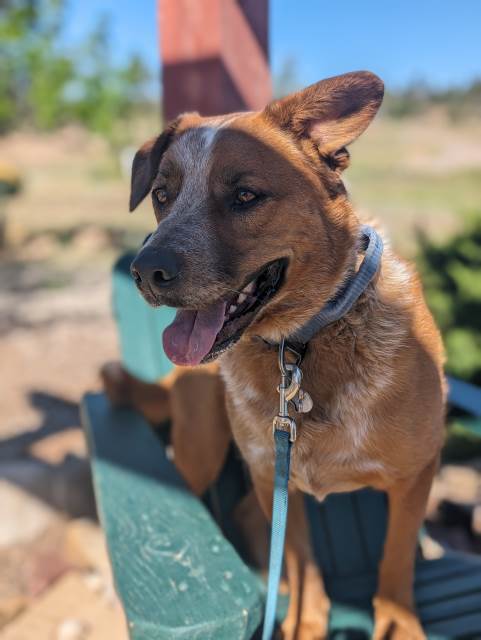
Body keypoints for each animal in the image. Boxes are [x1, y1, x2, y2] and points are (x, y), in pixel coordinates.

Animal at [103, 72, 444, 636]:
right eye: (162, 195)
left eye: (245, 195)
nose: (145, 271)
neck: (303, 343)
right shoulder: (273, 475)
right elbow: (303, 564)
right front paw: (306, 619)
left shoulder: (414, 475)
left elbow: (395, 559)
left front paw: (397, 621)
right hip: (202, 451)